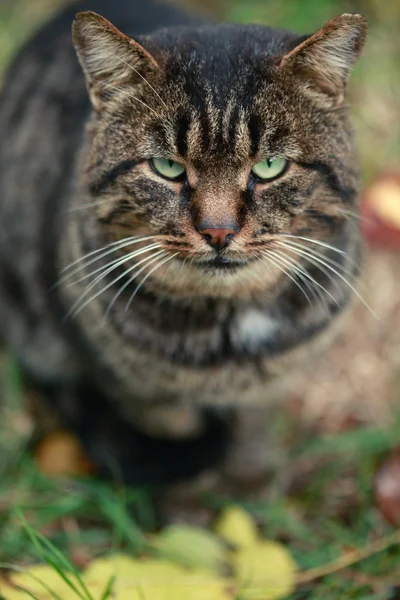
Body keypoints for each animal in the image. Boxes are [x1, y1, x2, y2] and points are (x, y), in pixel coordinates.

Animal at [0, 0, 368, 502]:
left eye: (270, 166)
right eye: (167, 167)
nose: (217, 231)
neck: (227, 329)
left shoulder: (274, 381)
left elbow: (254, 429)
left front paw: (247, 489)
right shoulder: (135, 386)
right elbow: (175, 431)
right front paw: (186, 508)